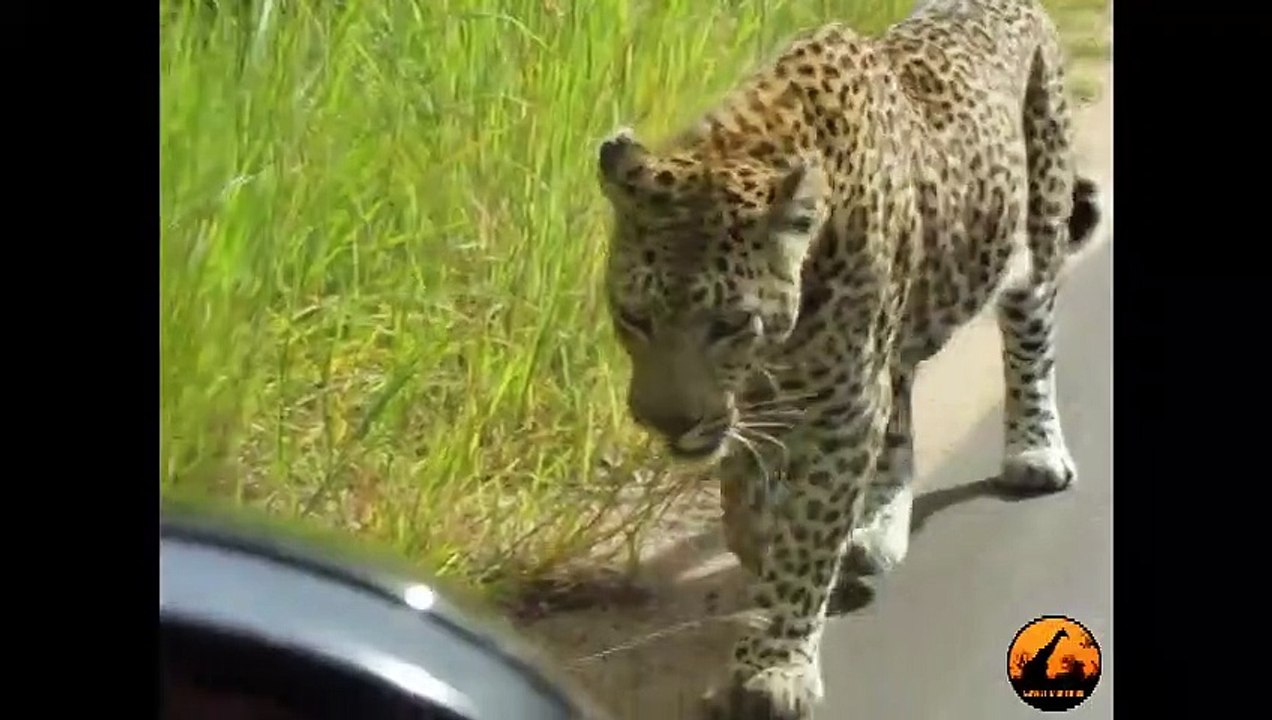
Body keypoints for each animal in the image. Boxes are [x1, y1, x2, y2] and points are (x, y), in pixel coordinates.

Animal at [593, 0, 1103, 718]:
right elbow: (744, 505)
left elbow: (807, 536)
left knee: (1030, 341)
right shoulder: (763, 405)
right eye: (634, 318)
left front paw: (775, 665)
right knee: (901, 408)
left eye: (729, 325)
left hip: (1038, 224)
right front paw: (769, 557)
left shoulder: (842, 407)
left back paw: (1034, 452)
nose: (666, 423)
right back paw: (878, 528)